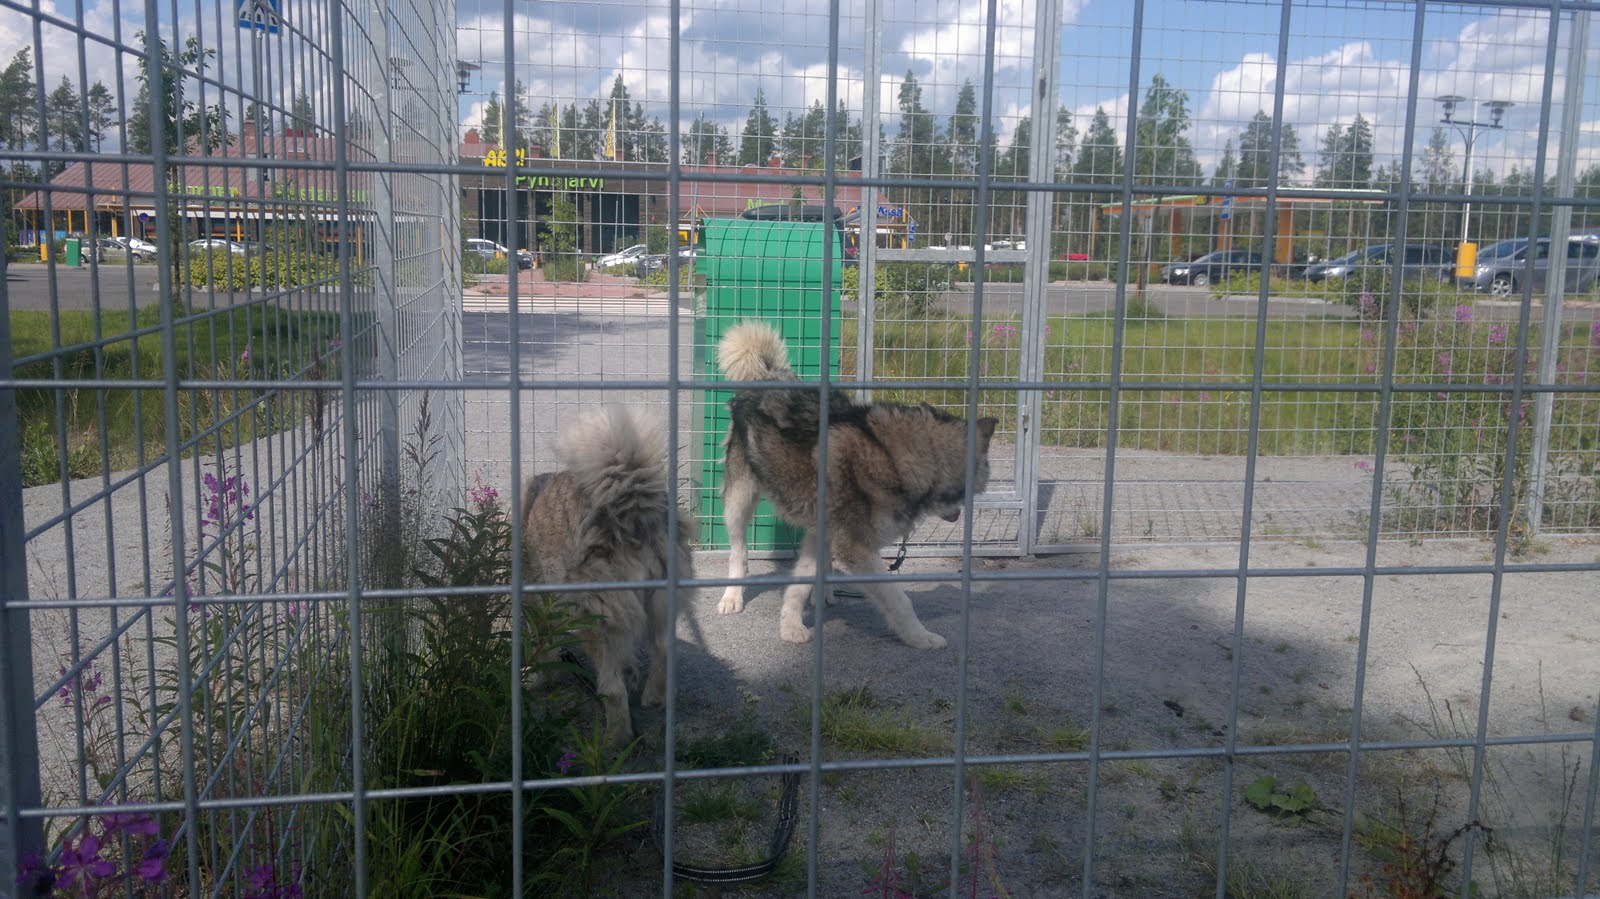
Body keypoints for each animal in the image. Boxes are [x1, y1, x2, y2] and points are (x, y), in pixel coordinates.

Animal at [521, 406, 694, 747]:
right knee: (663, 650)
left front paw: (538, 676)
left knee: (611, 689)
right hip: (659, 605)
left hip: (595, 620)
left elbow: (544, 647)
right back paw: (655, 697)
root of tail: (631, 511)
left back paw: (615, 737)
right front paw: (632, 674)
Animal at [714, 321, 997, 649]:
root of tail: (769, 374)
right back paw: (732, 596)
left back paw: (824, 594)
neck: (891, 456)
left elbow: (800, 582)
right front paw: (919, 636)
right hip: (739, 500)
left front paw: (790, 626)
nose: (957, 514)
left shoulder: (828, 533)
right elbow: (899, 600)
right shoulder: (855, 547)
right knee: (738, 550)